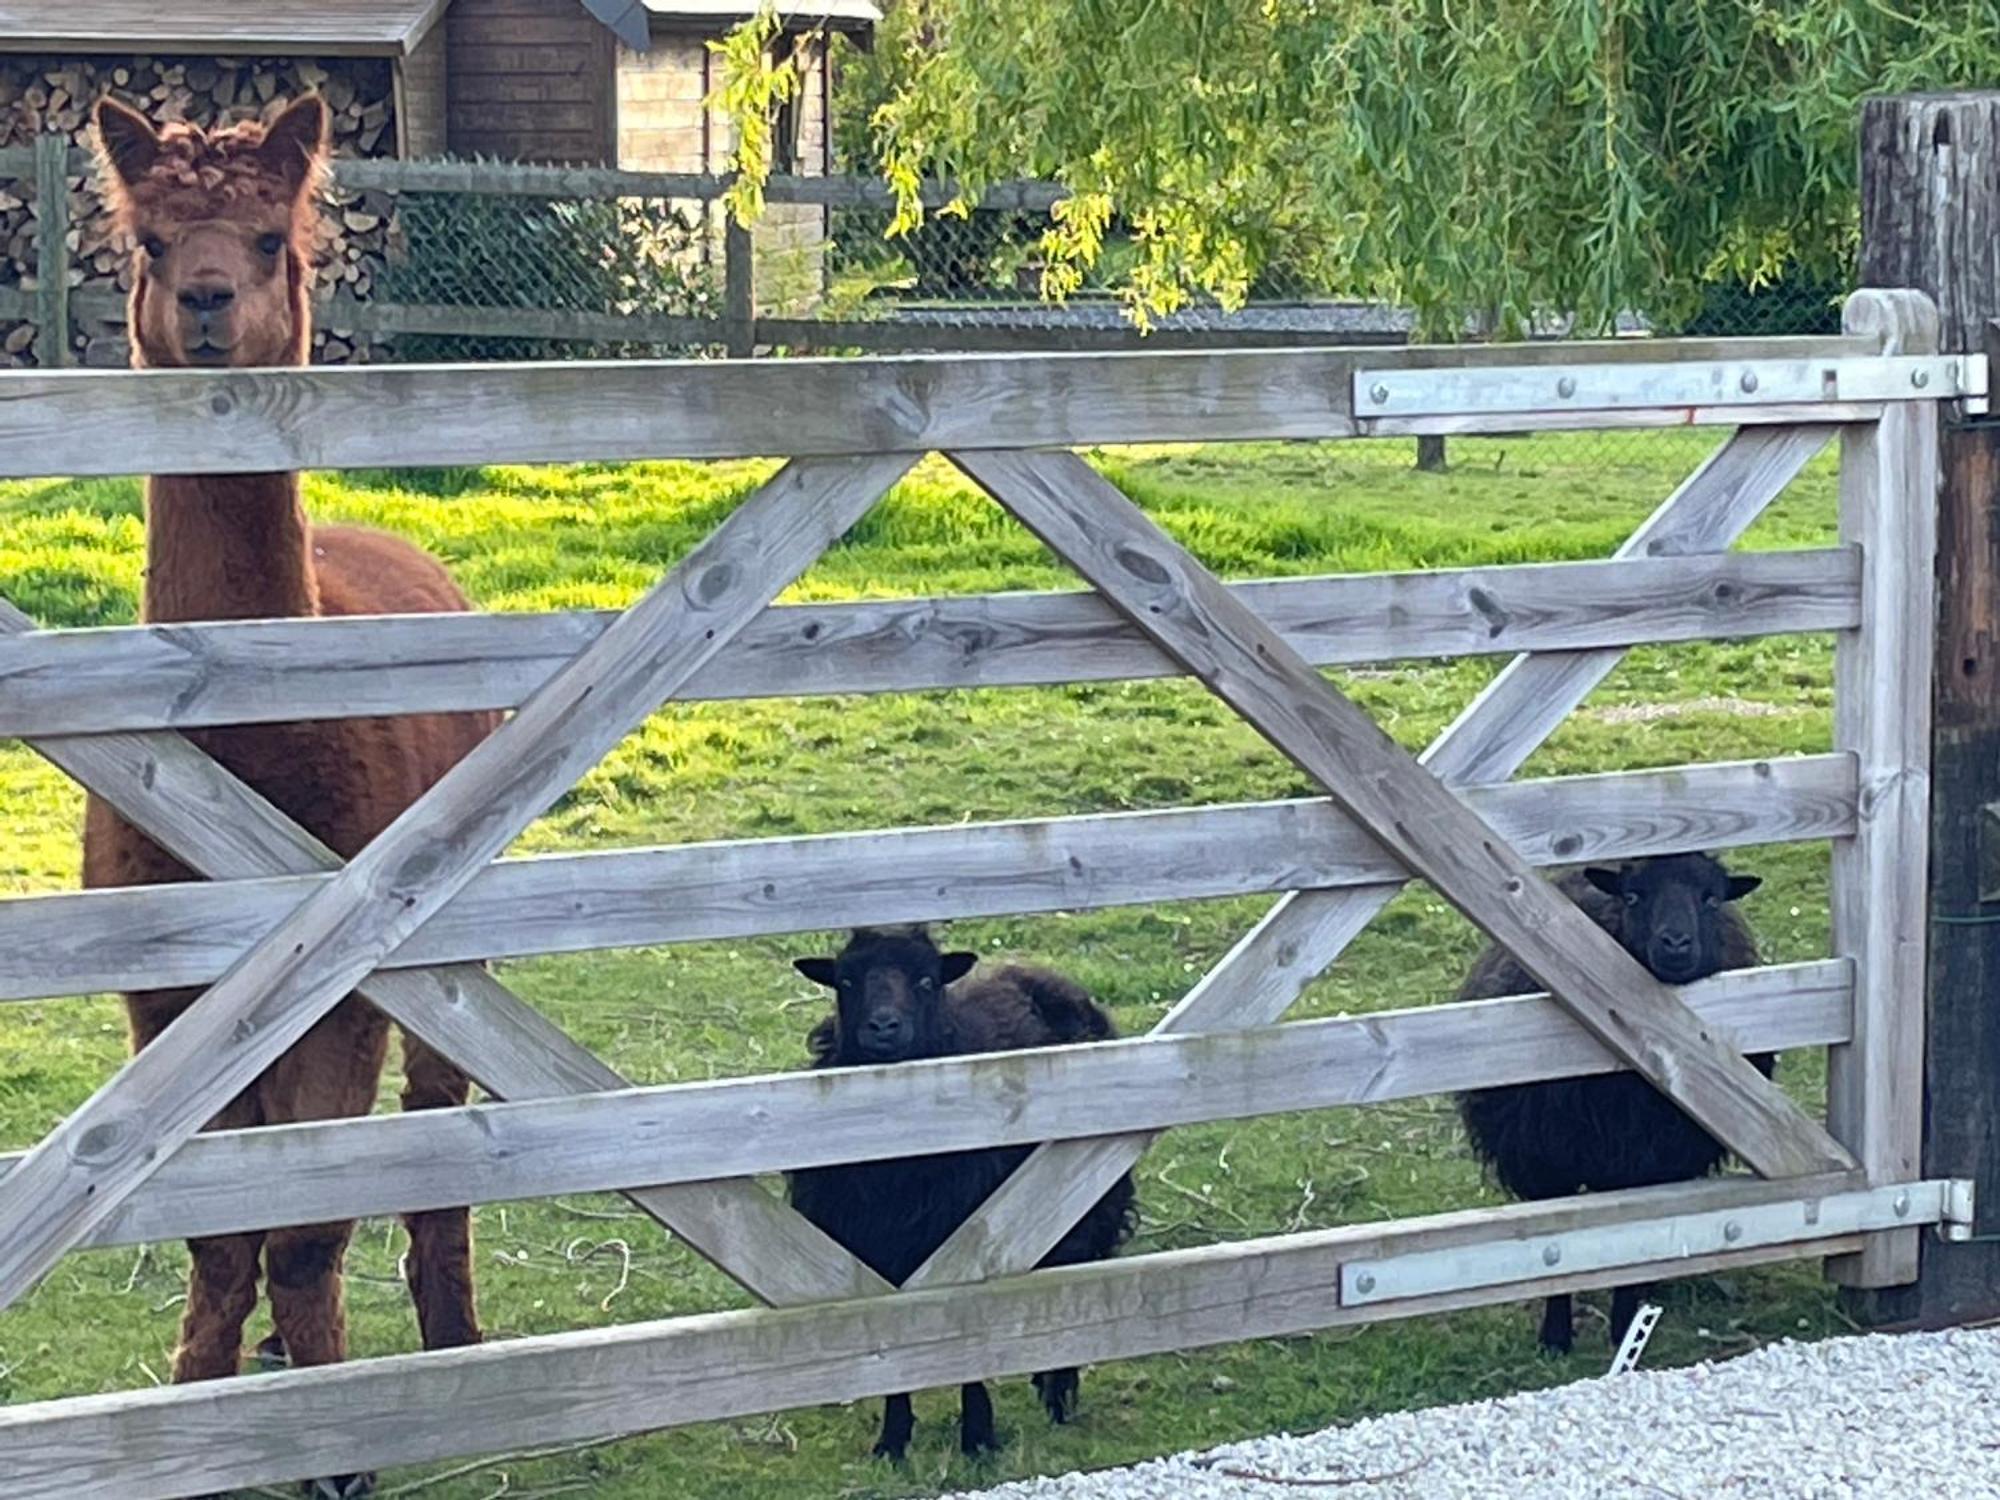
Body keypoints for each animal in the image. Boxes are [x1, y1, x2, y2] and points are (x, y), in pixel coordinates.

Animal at [792, 924, 1144, 1464]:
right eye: (846, 981)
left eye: (926, 980)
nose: (883, 1027)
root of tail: (1041, 975)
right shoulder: (875, 1248)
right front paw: (894, 1441)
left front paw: (978, 1437)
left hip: (1082, 1203)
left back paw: (1058, 1394)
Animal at [1456, 856, 1768, 1360]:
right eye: (1633, 896)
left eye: (1712, 898)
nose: (1676, 943)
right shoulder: (1546, 1163)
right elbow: (1554, 1253)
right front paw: (1555, 1338)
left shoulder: (1652, 1164)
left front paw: (1624, 1327)